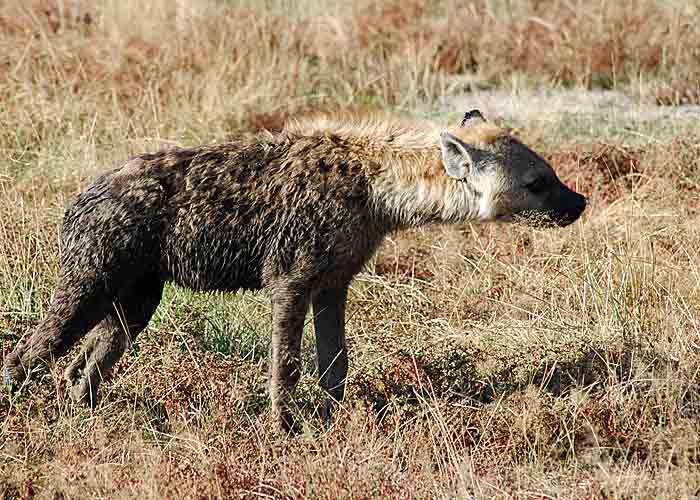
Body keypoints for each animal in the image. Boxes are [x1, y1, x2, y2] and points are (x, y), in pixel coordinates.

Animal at [3, 110, 586, 431]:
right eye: (537, 182)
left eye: (551, 173)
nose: (579, 202)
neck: (373, 191)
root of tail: (79, 197)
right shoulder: (290, 276)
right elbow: (286, 361)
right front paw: (284, 428)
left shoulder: (335, 280)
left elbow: (335, 361)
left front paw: (334, 418)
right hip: (90, 278)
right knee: (34, 348)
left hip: (139, 294)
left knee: (90, 358)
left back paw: (85, 415)